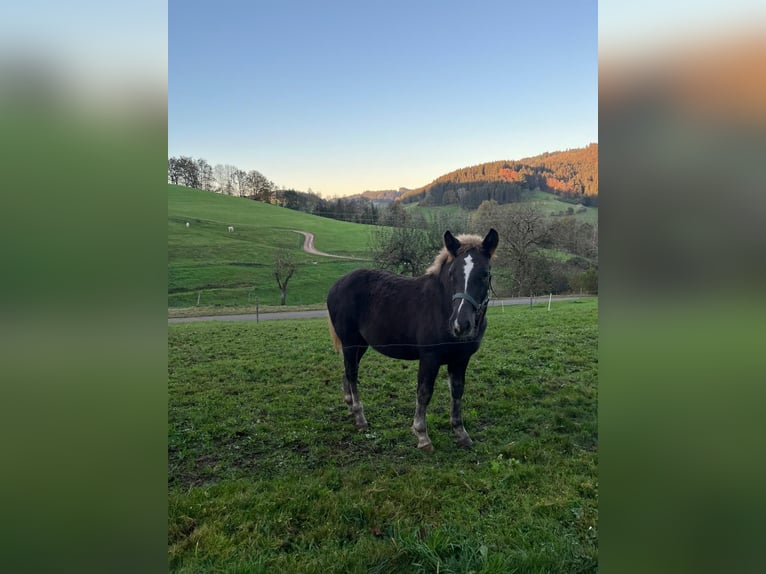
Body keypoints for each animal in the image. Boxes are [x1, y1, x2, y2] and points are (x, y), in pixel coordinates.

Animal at [328, 230, 500, 454]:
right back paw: (359, 418)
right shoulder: (429, 357)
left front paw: (461, 433)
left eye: (485, 274)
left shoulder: (461, 359)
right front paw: (422, 436)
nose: (460, 325)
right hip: (350, 342)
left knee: (347, 372)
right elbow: (424, 392)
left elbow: (457, 391)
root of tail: (336, 285)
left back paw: (350, 408)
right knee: (352, 374)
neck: (442, 305)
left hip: (360, 345)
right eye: (452, 274)